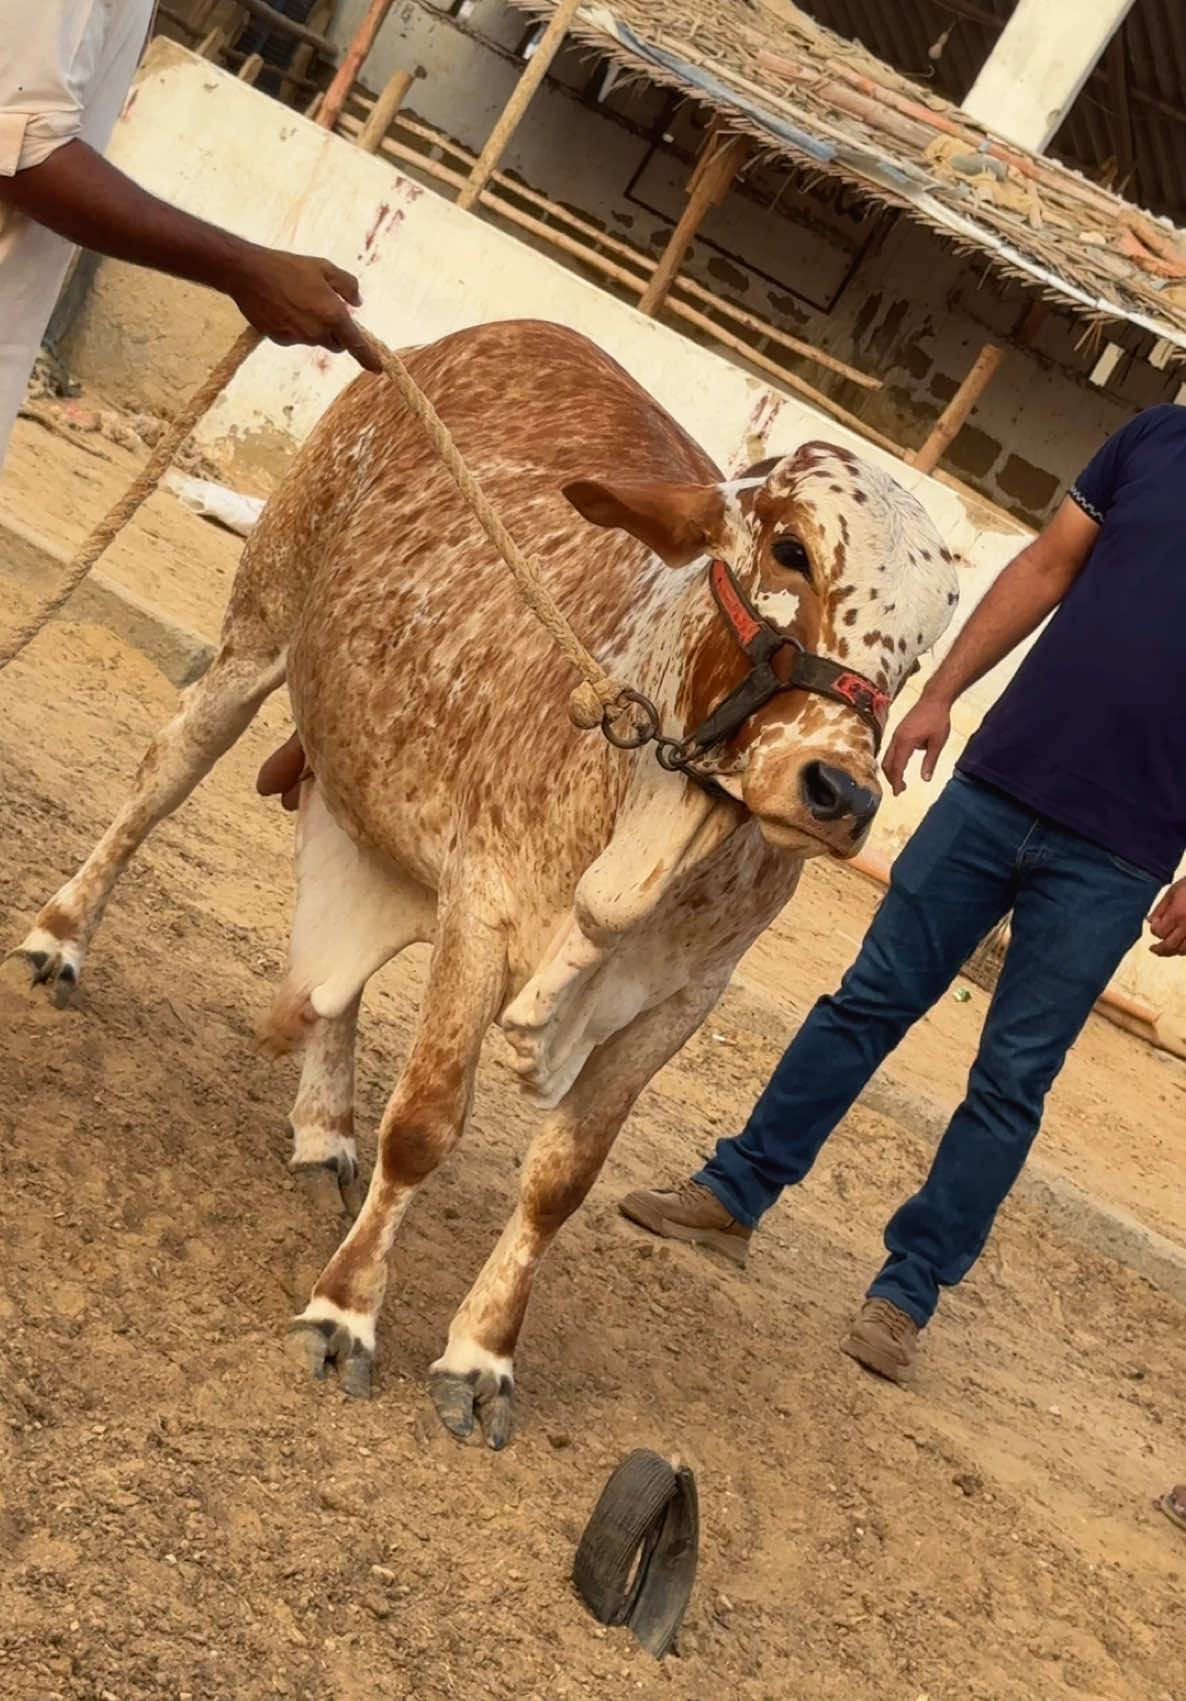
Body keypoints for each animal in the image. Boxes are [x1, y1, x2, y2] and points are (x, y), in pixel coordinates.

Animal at [16, 320, 958, 1447]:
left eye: (925, 645)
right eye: (791, 552)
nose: (839, 792)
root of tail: (436, 345)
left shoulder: (681, 1000)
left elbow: (561, 1180)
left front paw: (480, 1355)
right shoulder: (484, 906)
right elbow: (424, 1127)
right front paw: (344, 1312)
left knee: (339, 958)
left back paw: (325, 1123)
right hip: (260, 633)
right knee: (163, 776)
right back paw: (62, 936)